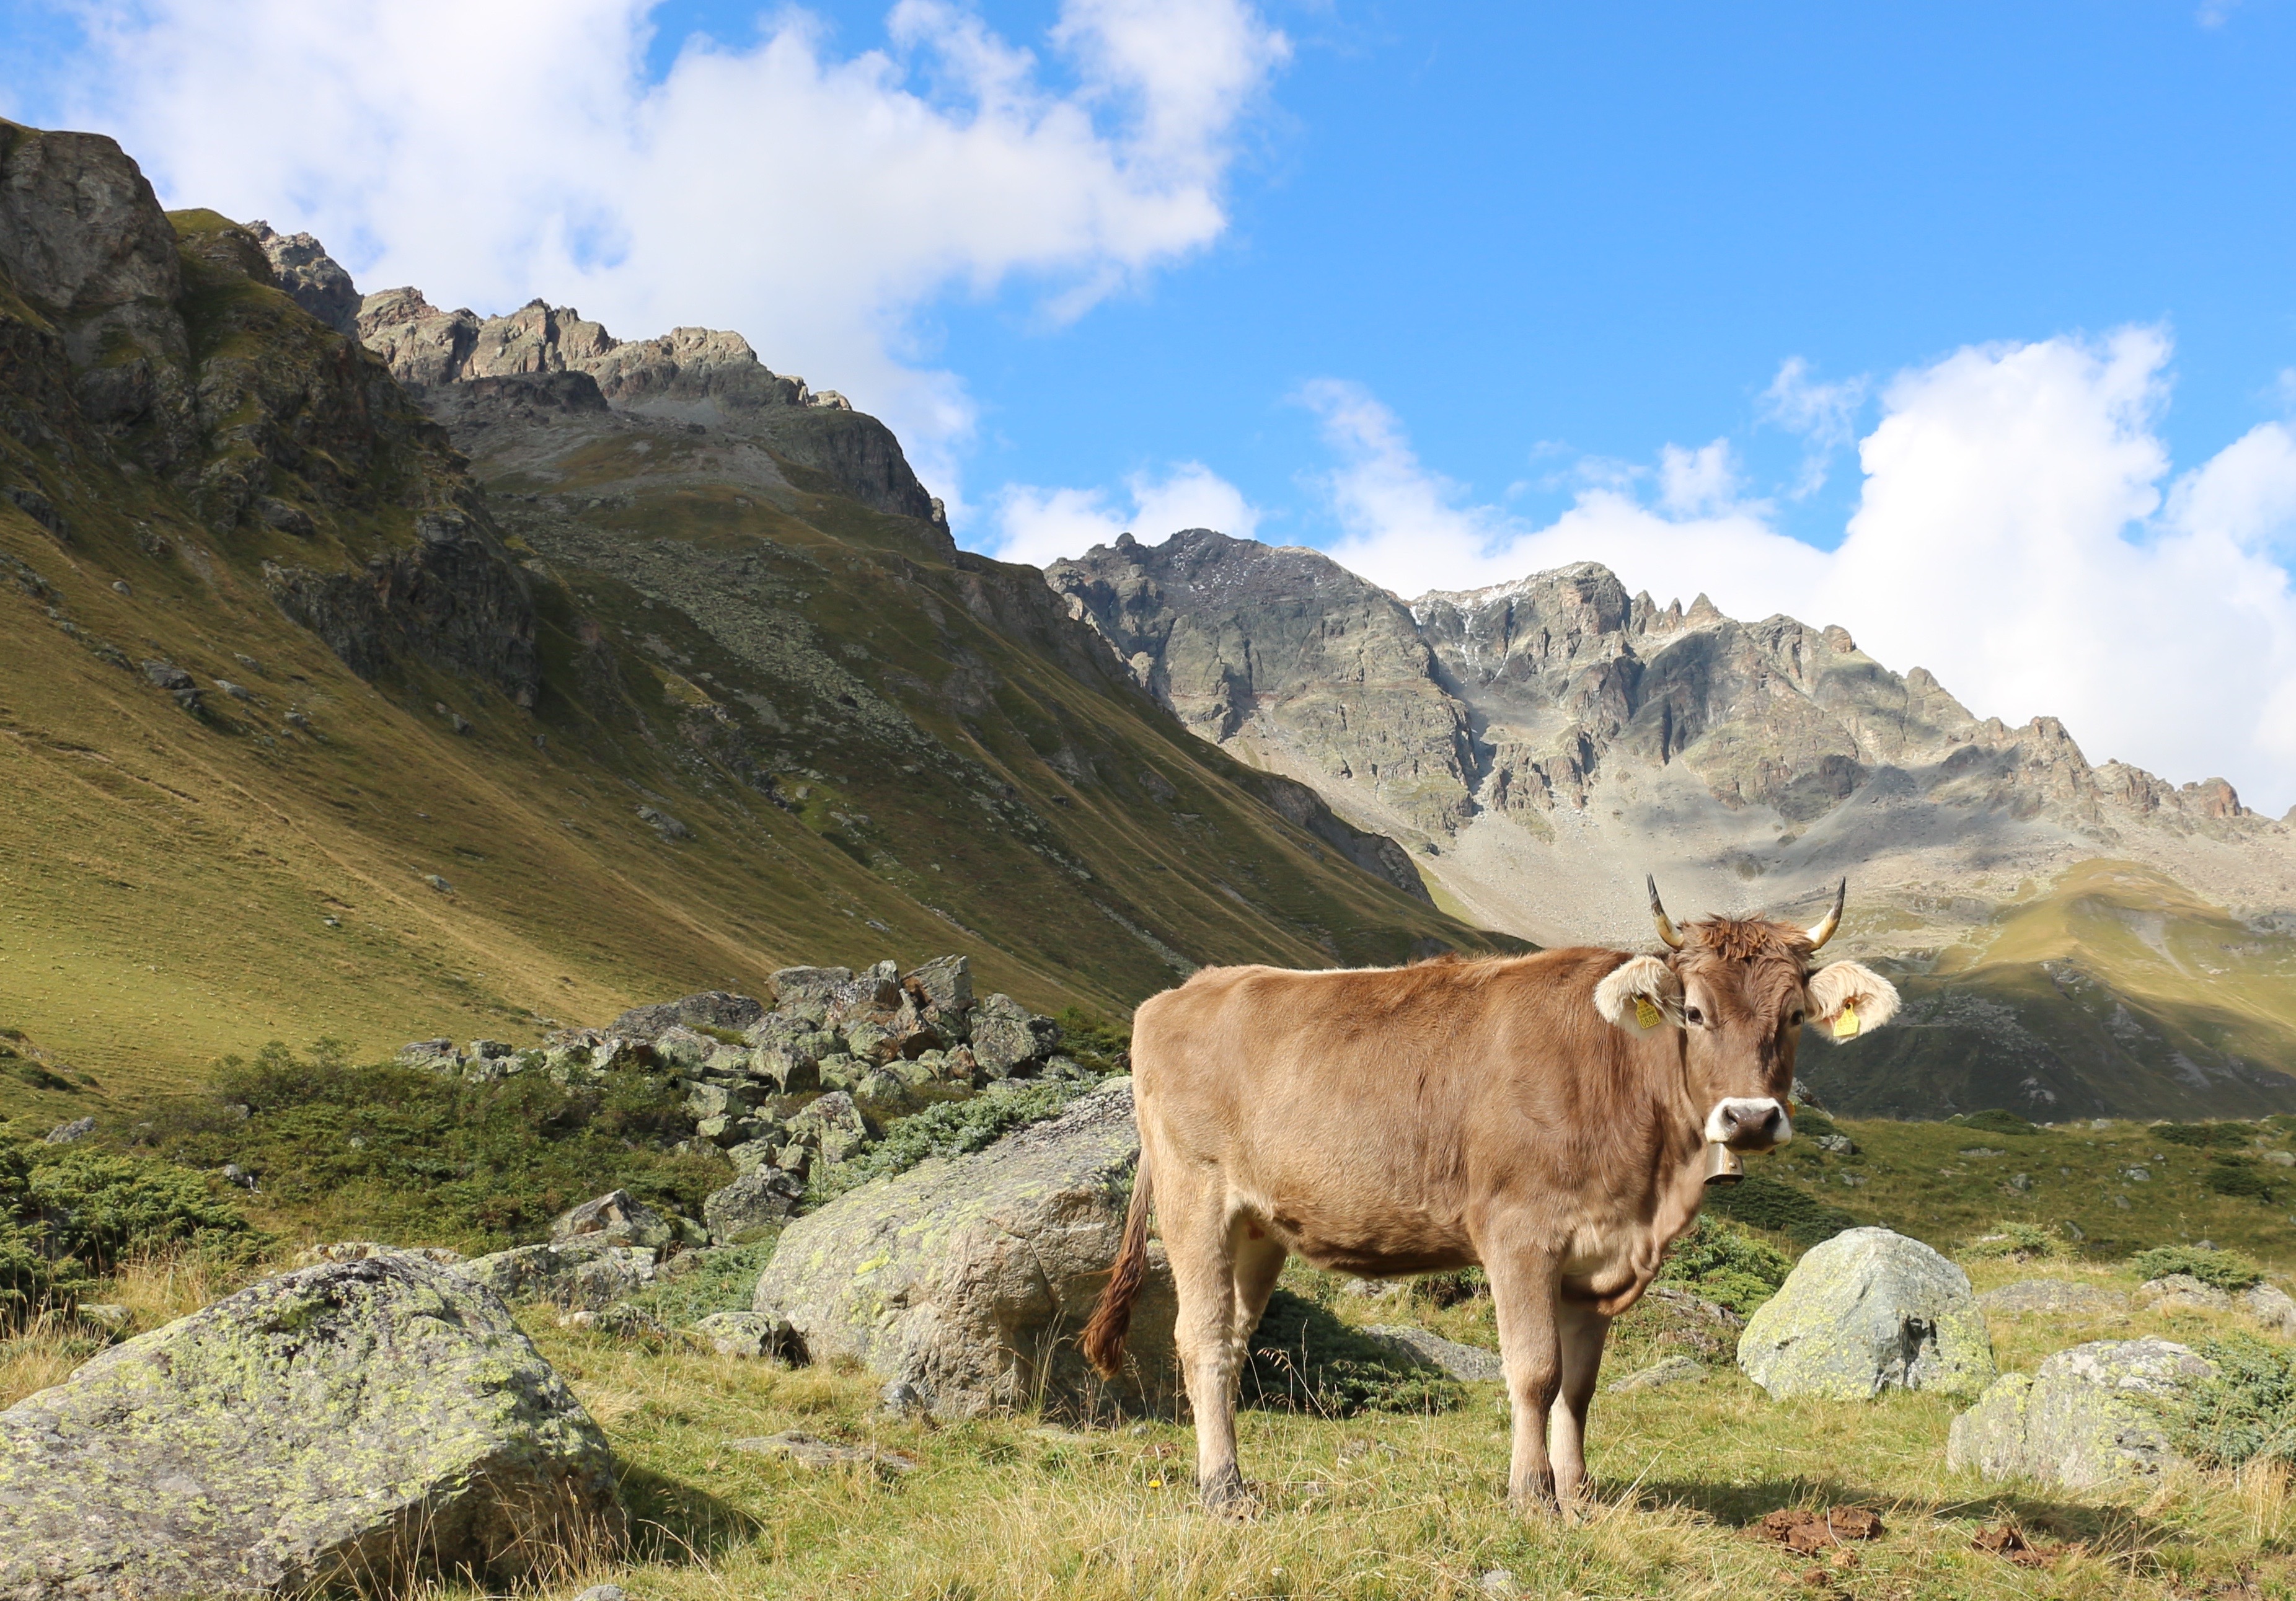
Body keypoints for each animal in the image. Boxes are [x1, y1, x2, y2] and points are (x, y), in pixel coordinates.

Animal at [1088, 873, 1901, 1507]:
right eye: (1694, 1013)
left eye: (1792, 1017)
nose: (1750, 1118)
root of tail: (1187, 989)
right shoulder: (1519, 1234)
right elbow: (1535, 1372)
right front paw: (1530, 1495)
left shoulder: (1595, 1258)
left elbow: (1579, 1386)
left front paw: (1578, 1495)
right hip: (1194, 1199)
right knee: (1198, 1338)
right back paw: (1222, 1491)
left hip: (1258, 1228)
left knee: (1230, 1338)